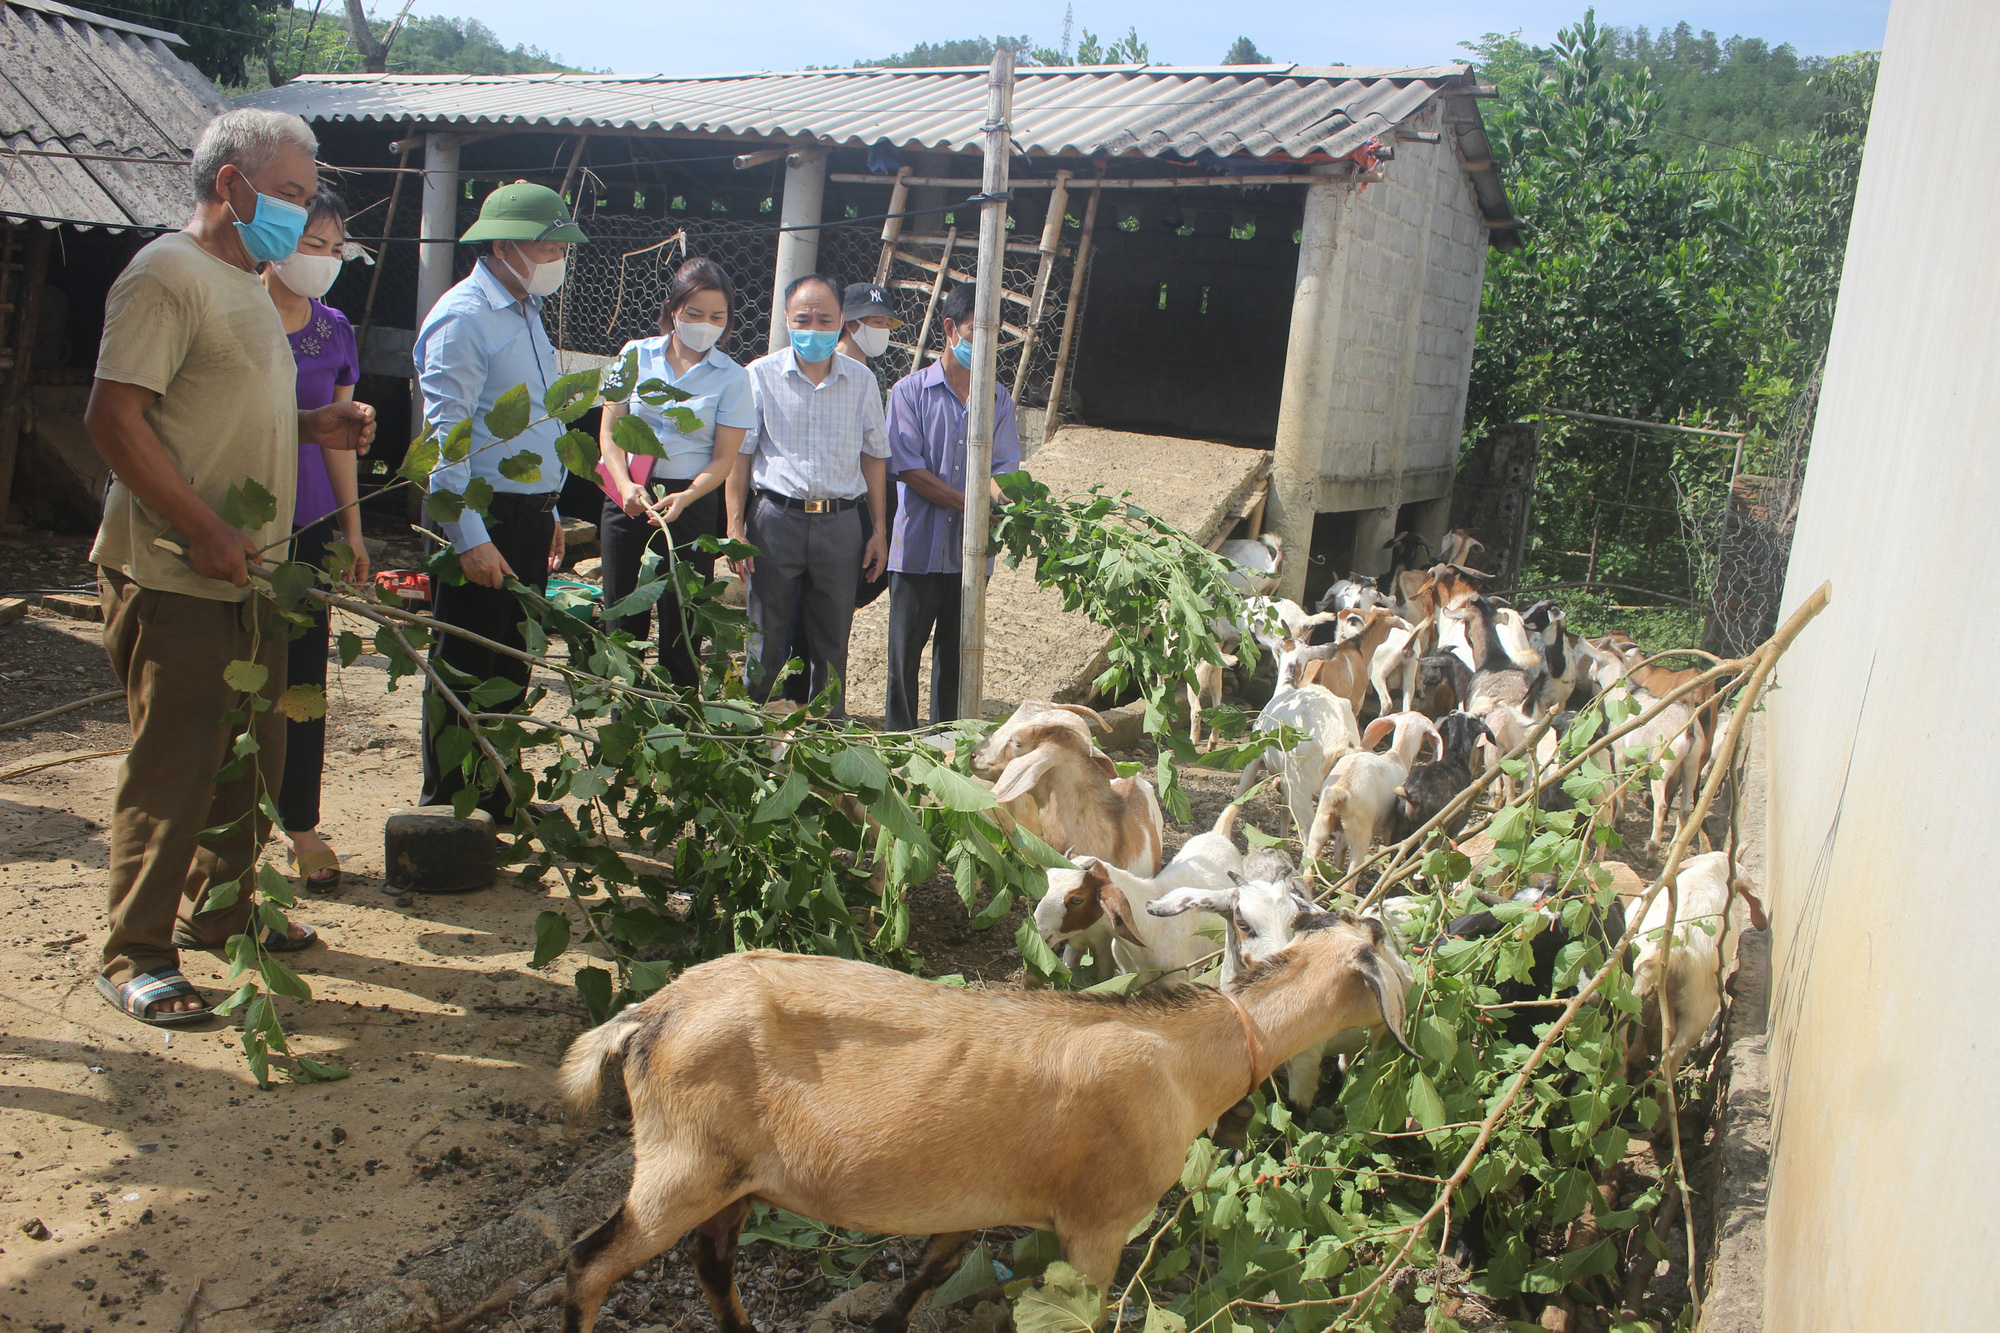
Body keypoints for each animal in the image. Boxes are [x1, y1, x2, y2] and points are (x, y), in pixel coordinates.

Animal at [556, 912, 1416, 1328]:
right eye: (1383, 944)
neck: (1183, 1057)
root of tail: (648, 1016)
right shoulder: (1100, 1224)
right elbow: (1083, 1312)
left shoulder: (969, 1201)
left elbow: (924, 1280)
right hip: (680, 1167)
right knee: (589, 1263)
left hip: (730, 1177)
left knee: (711, 1264)